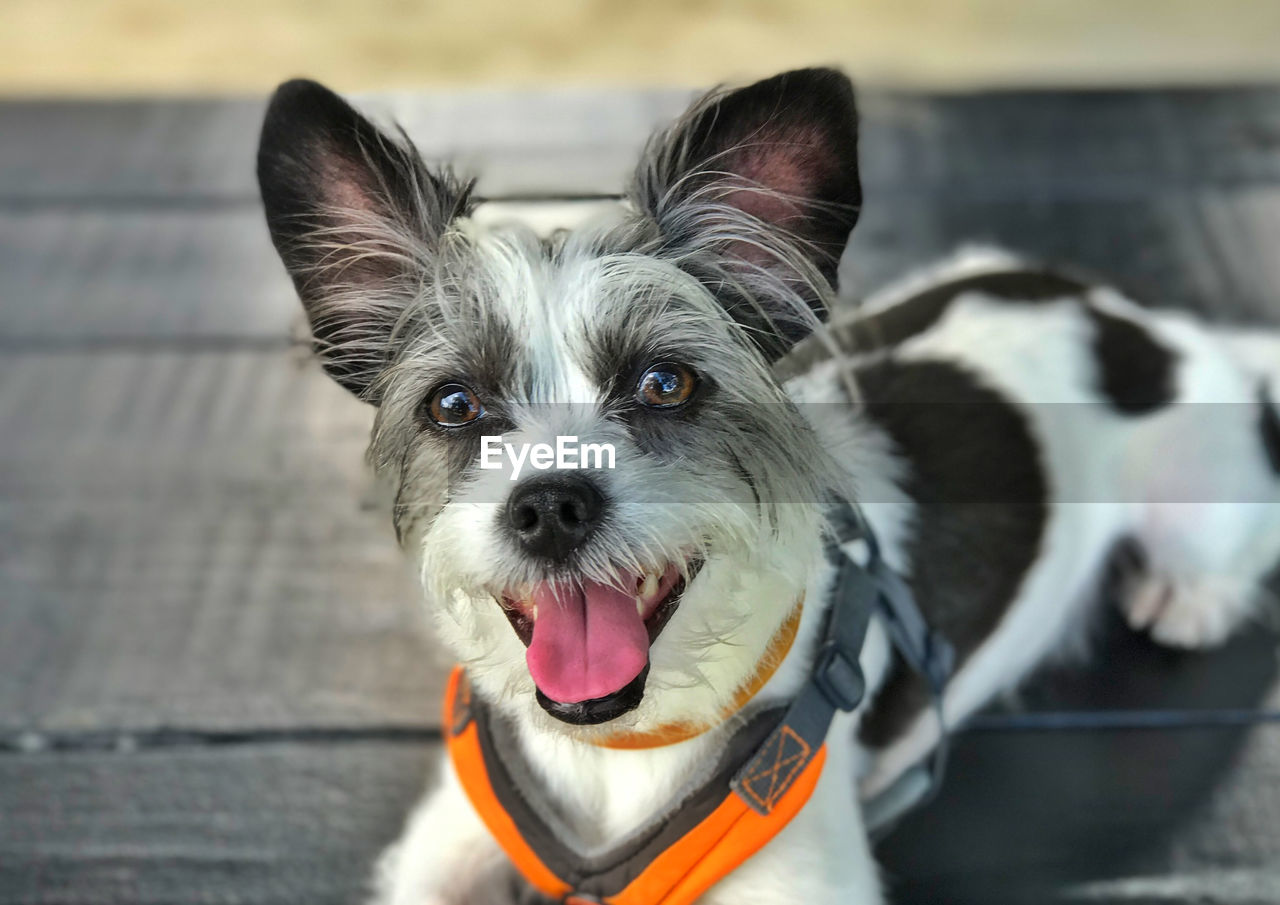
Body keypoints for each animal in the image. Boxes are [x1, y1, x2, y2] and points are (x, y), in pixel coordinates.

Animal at [252, 67, 1280, 901]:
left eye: (665, 383)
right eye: (456, 404)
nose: (549, 505)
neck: (622, 747)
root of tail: (1140, 320)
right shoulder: (446, 845)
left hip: (1197, 502)